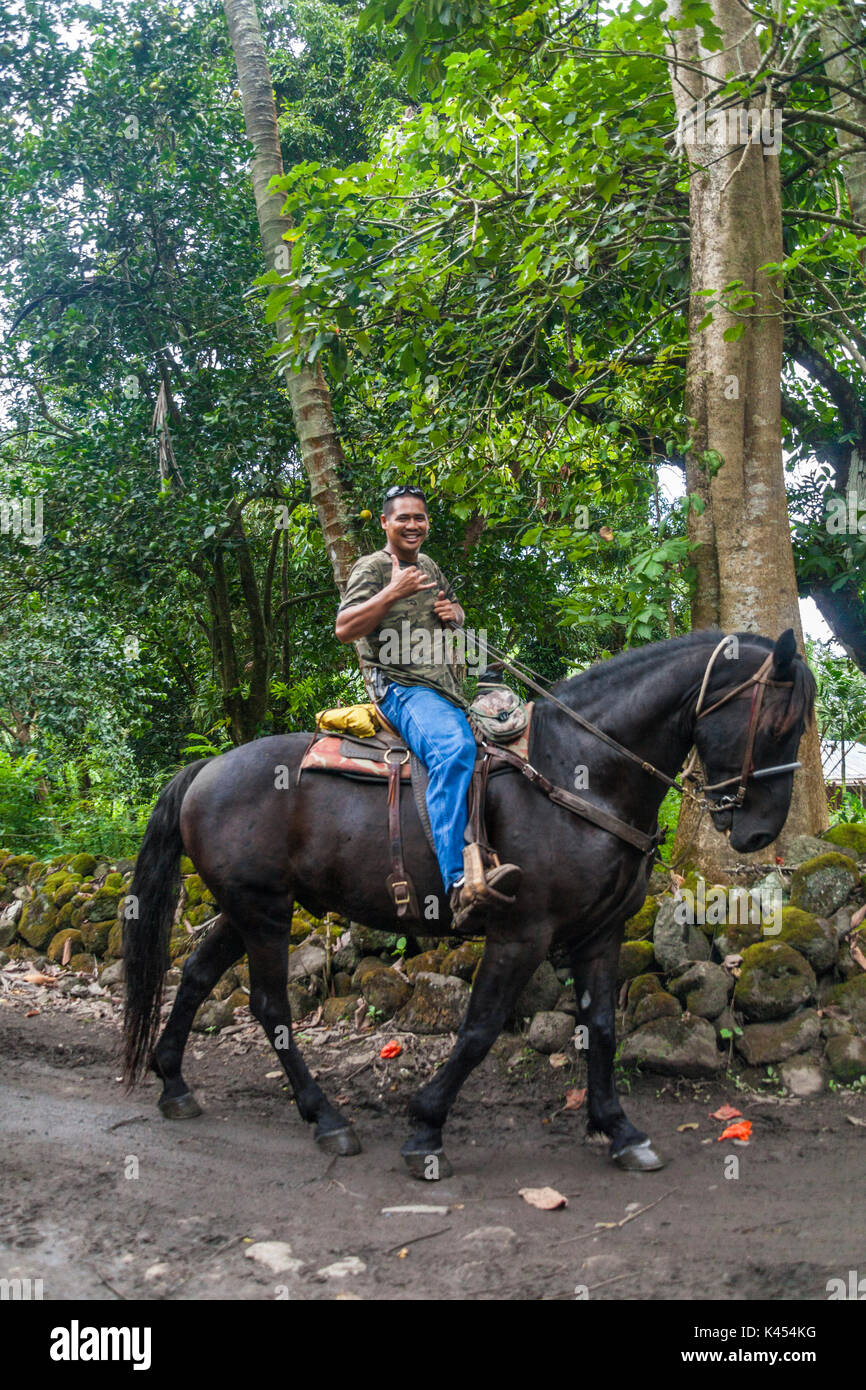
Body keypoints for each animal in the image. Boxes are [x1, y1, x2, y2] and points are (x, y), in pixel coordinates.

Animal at [125, 636, 817, 1178]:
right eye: (776, 723)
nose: (759, 832)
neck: (582, 770)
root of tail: (207, 768)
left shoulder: (601, 932)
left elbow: (603, 1027)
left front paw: (619, 1130)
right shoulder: (523, 932)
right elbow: (481, 1027)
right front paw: (425, 1127)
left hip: (247, 907)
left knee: (196, 975)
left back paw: (174, 1083)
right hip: (265, 912)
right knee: (270, 1006)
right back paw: (327, 1118)